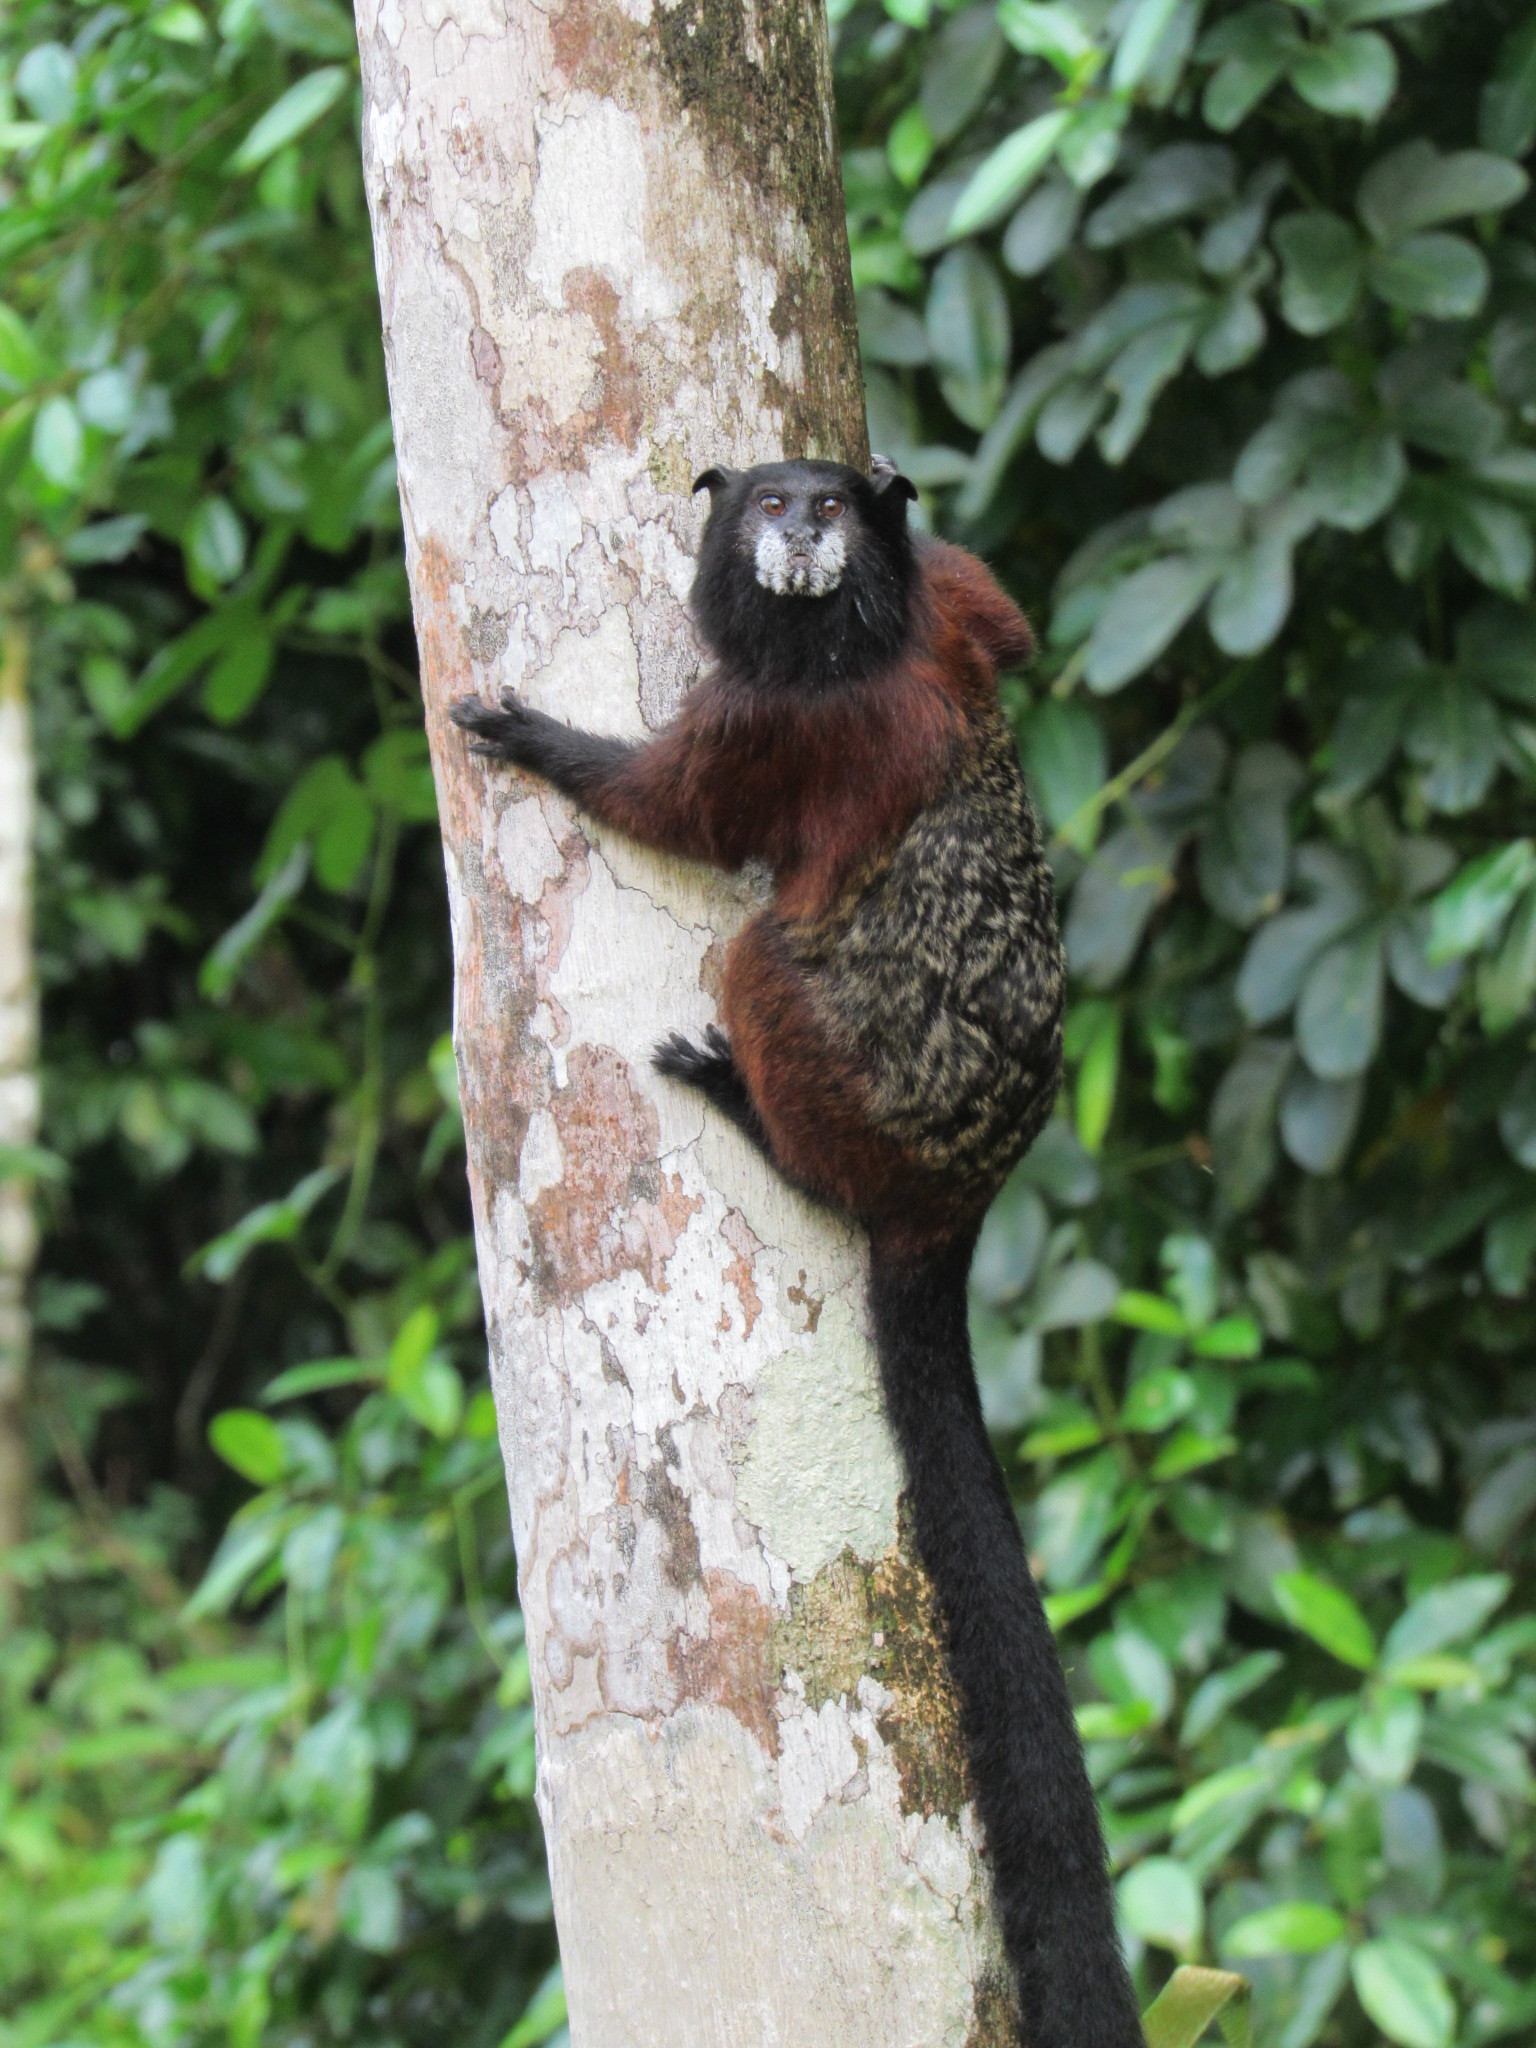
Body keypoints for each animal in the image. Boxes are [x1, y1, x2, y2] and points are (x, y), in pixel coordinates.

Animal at [448, 460, 1146, 2048]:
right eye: (773, 501)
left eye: (817, 509)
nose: (805, 533)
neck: (864, 630)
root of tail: (956, 1192)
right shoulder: (956, 612)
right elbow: (1007, 620)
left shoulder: (777, 724)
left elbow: (683, 814)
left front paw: (544, 743)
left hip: (837, 1078)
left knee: (759, 950)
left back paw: (752, 1117)